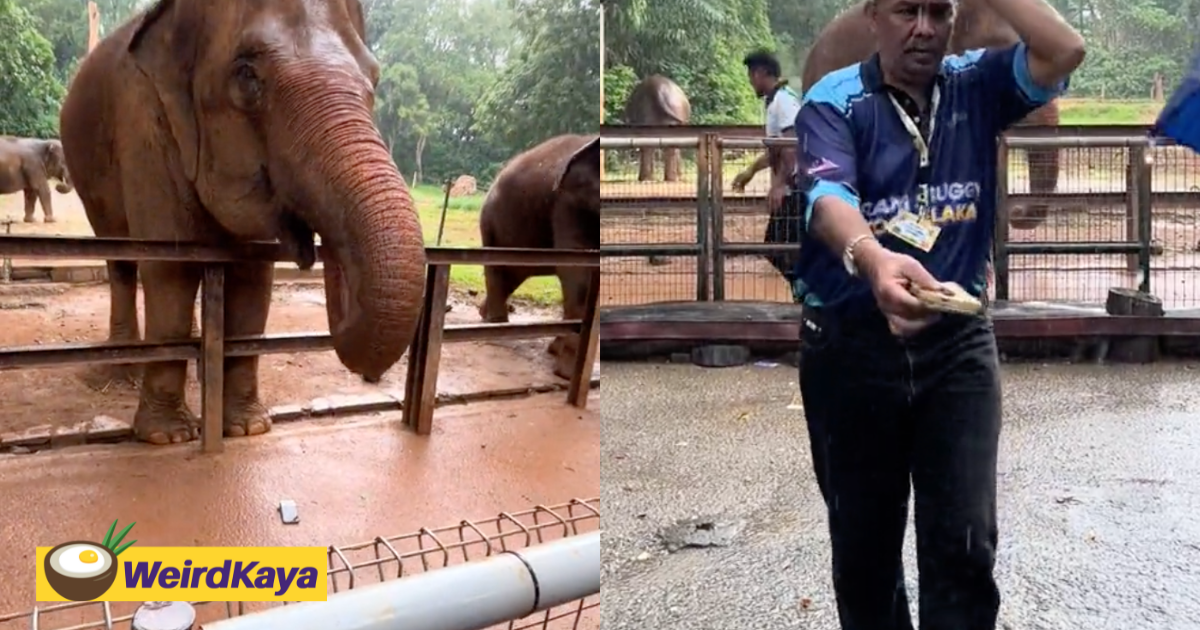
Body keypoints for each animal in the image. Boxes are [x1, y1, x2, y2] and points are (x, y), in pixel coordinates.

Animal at [60, 0, 429, 446]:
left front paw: (248, 428)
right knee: (121, 261)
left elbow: (253, 277)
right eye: (247, 75)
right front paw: (168, 437)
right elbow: (171, 269)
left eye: (374, 78)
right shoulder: (144, 123)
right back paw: (122, 371)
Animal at [477, 132, 600, 379]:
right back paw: (496, 326)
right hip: (491, 221)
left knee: (512, 275)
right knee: (497, 265)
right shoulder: (567, 205)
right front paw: (566, 374)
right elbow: (578, 274)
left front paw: (556, 354)